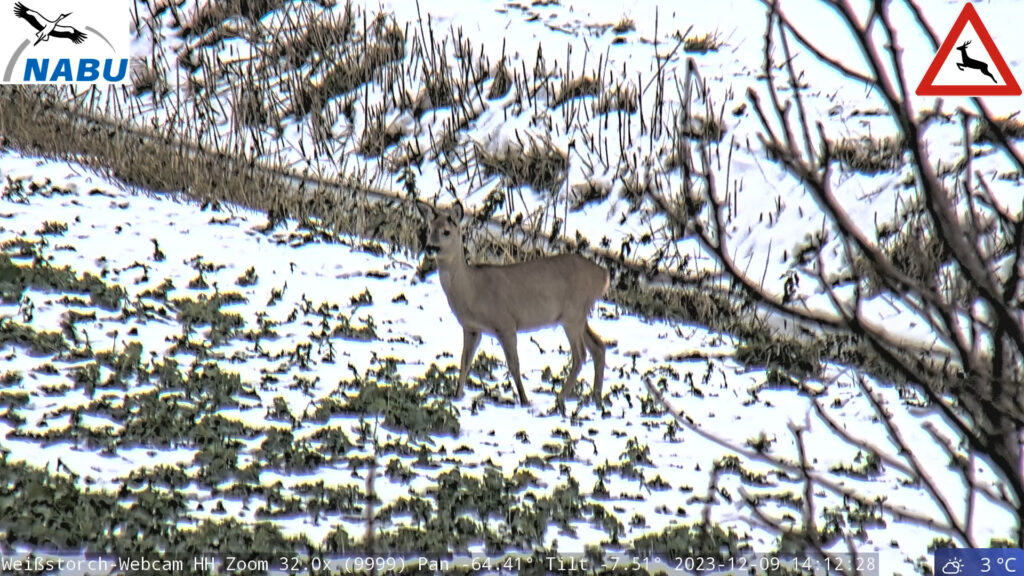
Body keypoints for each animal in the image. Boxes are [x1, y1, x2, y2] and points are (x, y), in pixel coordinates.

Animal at [417, 202, 609, 409]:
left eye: (446, 231)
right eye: (430, 229)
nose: (430, 247)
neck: (470, 291)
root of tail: (603, 275)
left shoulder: (505, 324)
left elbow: (514, 364)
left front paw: (524, 400)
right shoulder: (471, 327)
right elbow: (464, 361)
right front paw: (457, 396)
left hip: (572, 315)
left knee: (581, 354)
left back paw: (559, 399)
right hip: (579, 316)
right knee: (598, 346)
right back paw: (596, 399)